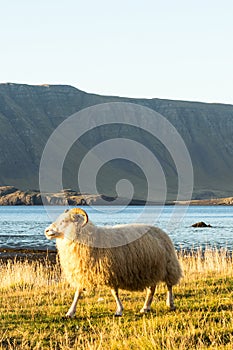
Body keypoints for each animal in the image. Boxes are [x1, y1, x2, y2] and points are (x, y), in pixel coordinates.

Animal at [43, 208, 182, 318]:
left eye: (64, 221)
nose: (47, 231)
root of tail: (160, 231)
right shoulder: (84, 272)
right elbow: (78, 293)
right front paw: (70, 312)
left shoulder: (111, 271)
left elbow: (114, 293)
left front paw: (119, 310)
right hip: (151, 268)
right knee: (152, 289)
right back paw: (145, 307)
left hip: (168, 265)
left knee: (169, 285)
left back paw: (170, 304)